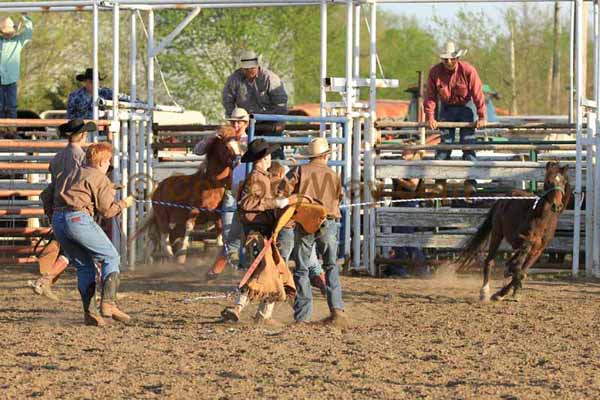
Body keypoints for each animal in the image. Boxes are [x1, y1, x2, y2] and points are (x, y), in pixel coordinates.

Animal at [139, 125, 243, 262]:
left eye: (238, 144)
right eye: (226, 146)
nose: (238, 161)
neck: (211, 187)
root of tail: (159, 187)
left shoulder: (217, 214)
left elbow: (220, 231)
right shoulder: (193, 211)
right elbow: (189, 228)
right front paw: (182, 255)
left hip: (175, 221)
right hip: (162, 217)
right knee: (164, 238)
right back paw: (170, 257)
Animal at [460, 161, 572, 302]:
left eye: (563, 182)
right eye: (548, 181)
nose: (557, 206)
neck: (542, 218)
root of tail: (503, 199)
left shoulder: (538, 250)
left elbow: (522, 271)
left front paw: (505, 292)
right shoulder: (521, 239)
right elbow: (519, 266)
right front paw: (505, 290)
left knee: (512, 263)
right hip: (497, 233)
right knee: (490, 261)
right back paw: (484, 292)